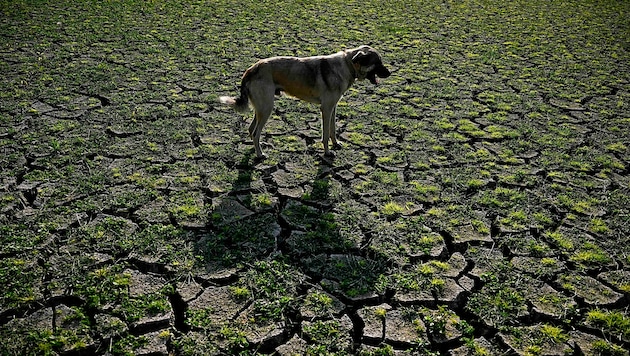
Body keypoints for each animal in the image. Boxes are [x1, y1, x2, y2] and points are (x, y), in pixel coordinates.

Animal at [221, 45, 390, 159]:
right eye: (378, 62)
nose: (390, 73)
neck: (348, 65)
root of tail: (251, 69)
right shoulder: (326, 109)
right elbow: (325, 134)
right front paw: (327, 152)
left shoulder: (333, 108)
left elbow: (333, 130)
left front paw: (336, 144)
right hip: (267, 108)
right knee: (255, 132)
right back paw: (260, 154)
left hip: (261, 108)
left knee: (251, 129)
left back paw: (257, 149)